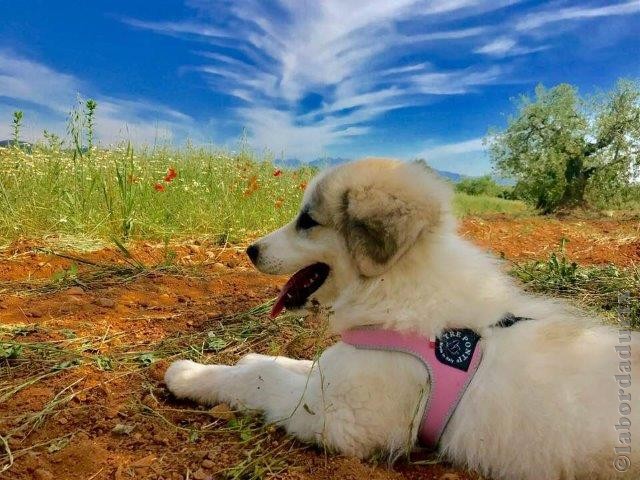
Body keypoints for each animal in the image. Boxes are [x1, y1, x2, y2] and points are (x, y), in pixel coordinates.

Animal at [166, 158, 640, 480]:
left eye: (307, 221)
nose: (250, 250)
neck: (392, 286)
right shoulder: (345, 369)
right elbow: (293, 365)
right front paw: (243, 360)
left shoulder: (342, 417)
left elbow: (261, 380)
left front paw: (189, 374)